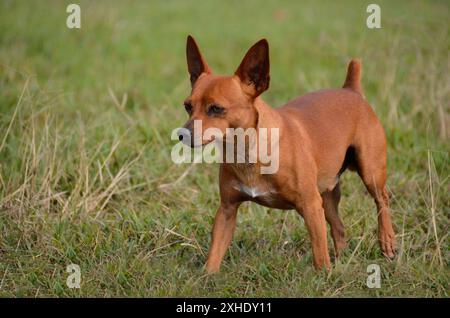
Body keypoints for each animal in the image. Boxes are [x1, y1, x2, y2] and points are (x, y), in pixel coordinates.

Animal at [180, 36, 398, 272]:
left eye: (216, 108)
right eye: (187, 106)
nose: (182, 134)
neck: (248, 151)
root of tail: (351, 90)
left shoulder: (311, 207)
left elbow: (320, 254)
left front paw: (324, 276)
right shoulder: (227, 211)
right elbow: (214, 255)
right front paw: (207, 276)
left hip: (370, 174)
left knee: (382, 201)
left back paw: (387, 240)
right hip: (327, 198)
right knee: (339, 228)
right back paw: (342, 262)